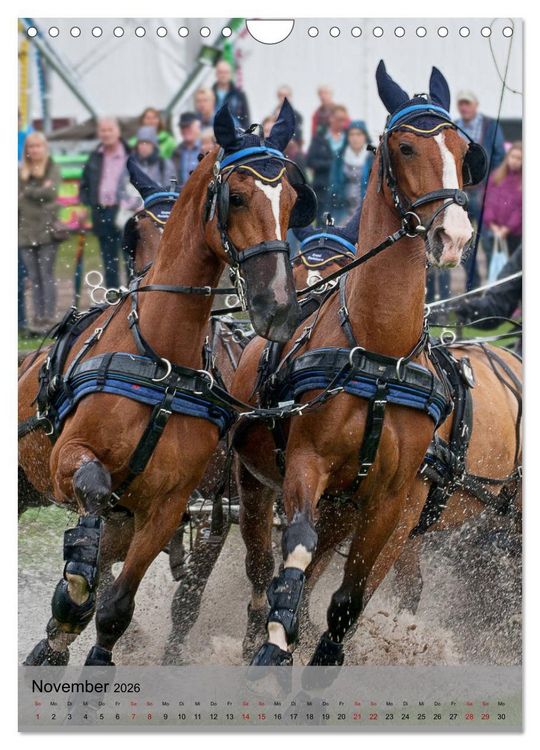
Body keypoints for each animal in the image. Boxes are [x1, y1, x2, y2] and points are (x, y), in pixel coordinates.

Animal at [18, 99, 316, 667]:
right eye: (236, 196)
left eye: (293, 202)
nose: (279, 306)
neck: (161, 360)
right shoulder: (70, 457)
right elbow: (93, 494)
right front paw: (75, 583)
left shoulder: (171, 508)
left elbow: (117, 607)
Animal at [229, 61, 522, 666]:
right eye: (405, 147)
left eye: (464, 149)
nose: (455, 235)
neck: (382, 355)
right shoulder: (307, 466)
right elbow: (295, 560)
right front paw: (274, 644)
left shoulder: (391, 500)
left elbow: (348, 602)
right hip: (258, 484)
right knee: (263, 567)